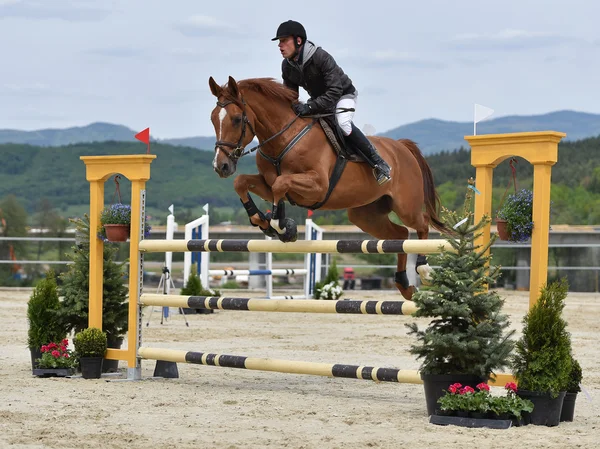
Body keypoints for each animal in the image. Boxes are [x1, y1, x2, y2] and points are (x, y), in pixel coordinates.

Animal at [209, 75, 452, 300]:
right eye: (213, 119)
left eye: (237, 119)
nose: (221, 166)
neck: (284, 138)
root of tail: (402, 147)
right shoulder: (269, 184)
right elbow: (242, 182)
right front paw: (264, 221)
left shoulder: (317, 186)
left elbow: (281, 184)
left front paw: (280, 226)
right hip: (365, 215)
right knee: (400, 234)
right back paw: (404, 284)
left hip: (406, 206)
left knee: (422, 223)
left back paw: (423, 269)